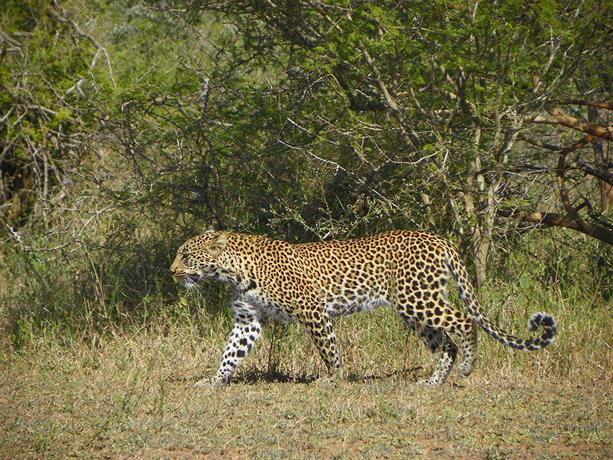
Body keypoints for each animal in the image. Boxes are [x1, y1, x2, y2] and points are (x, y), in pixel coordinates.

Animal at [170, 228, 556, 386]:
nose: (171, 271)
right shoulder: (248, 320)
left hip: (417, 299)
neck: (233, 272)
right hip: (415, 308)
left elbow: (329, 349)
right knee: (445, 344)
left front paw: (334, 378)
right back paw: (432, 382)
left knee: (464, 322)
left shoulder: (313, 312)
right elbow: (230, 353)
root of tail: (439, 239)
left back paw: (467, 367)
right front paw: (214, 380)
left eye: (186, 255)